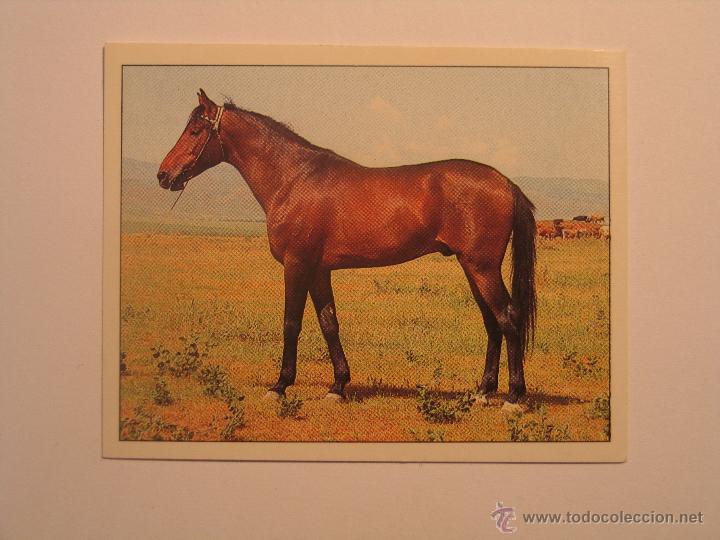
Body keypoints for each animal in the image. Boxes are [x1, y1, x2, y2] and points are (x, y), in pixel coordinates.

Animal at [157, 90, 537, 407]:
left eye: (195, 131)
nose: (163, 175)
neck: (294, 179)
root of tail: (506, 183)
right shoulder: (319, 270)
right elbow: (329, 323)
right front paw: (337, 387)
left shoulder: (296, 265)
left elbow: (291, 323)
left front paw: (279, 386)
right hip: (472, 267)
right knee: (492, 322)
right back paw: (482, 392)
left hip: (482, 267)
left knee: (508, 318)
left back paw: (513, 397)